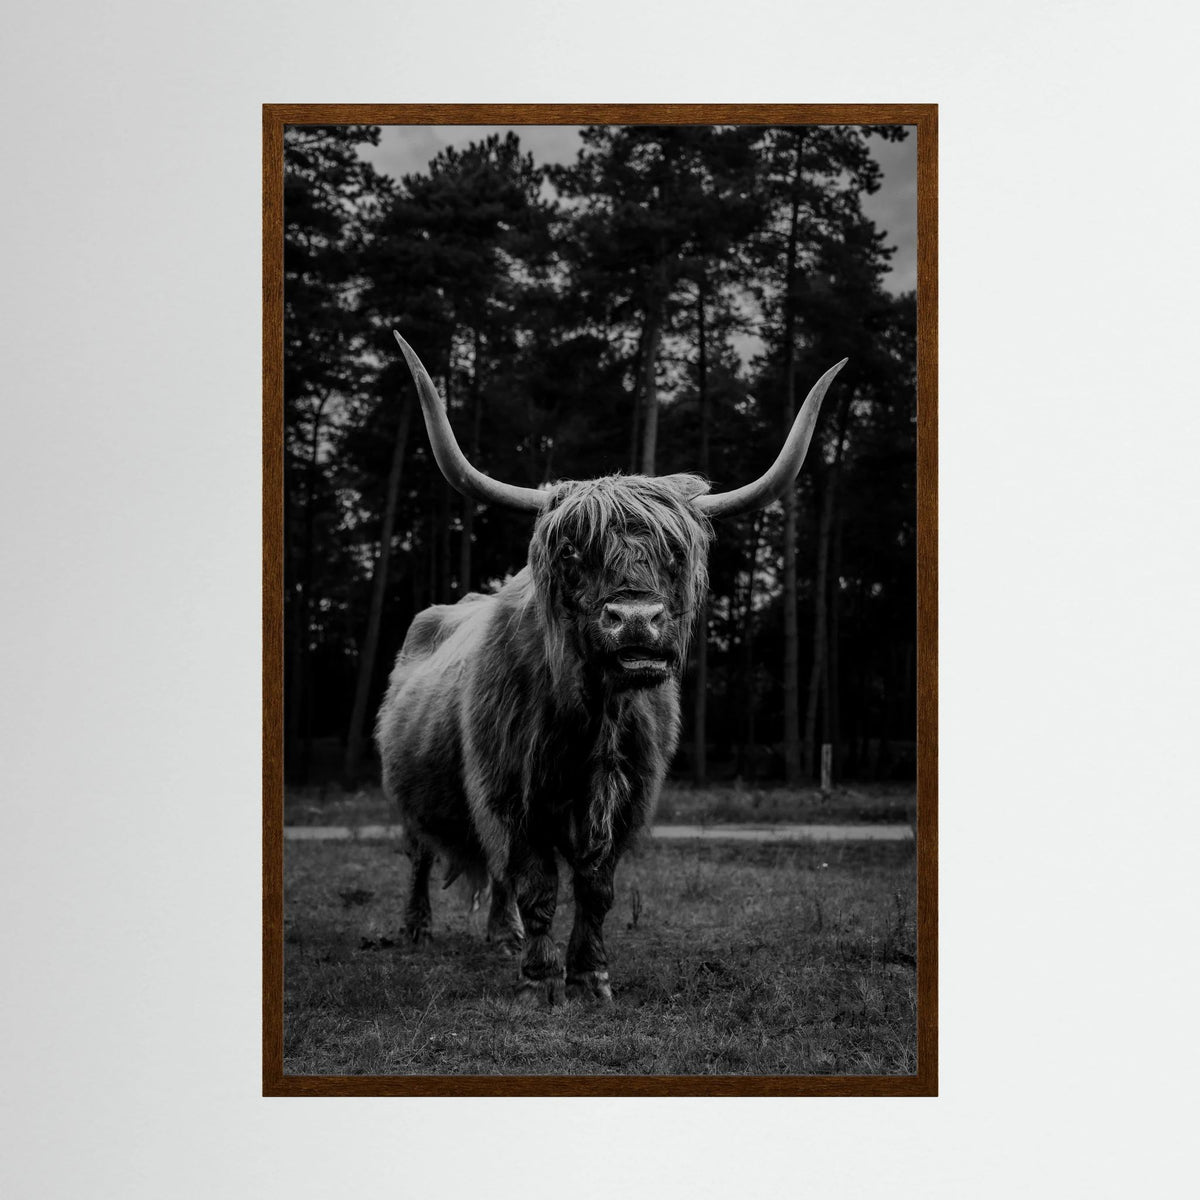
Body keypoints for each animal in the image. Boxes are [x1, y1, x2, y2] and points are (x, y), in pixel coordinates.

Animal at [375, 332, 845, 1006]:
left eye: (675, 553)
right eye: (574, 552)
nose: (636, 621)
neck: (592, 719)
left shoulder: (627, 801)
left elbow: (596, 890)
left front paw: (590, 977)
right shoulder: (511, 794)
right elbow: (539, 886)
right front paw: (541, 982)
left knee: (492, 874)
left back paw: (502, 937)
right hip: (406, 791)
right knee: (420, 856)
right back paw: (418, 931)